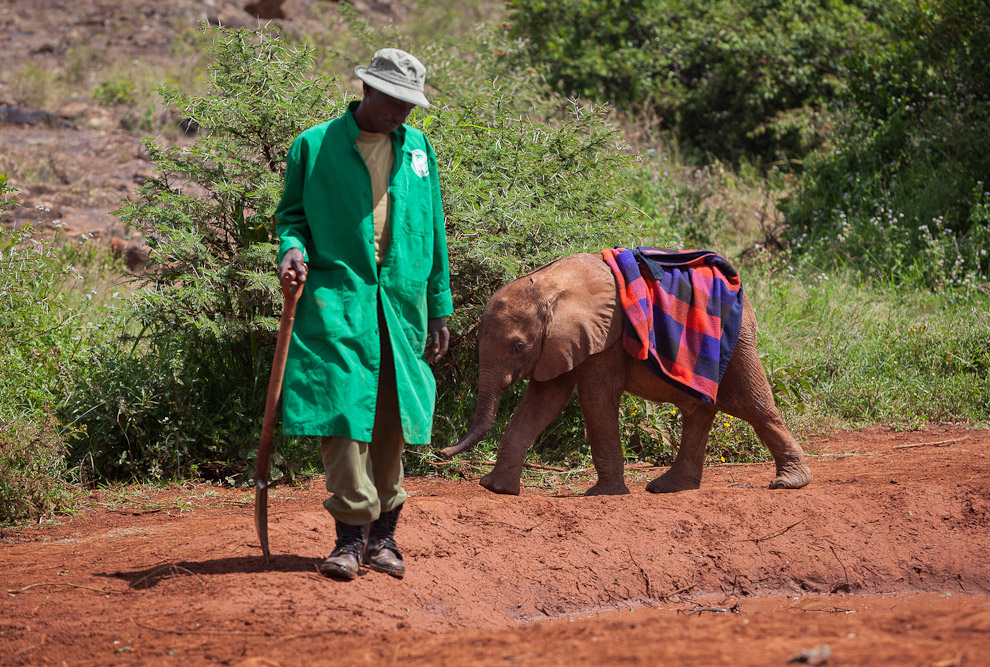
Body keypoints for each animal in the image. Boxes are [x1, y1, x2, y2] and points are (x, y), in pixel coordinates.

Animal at [442, 252, 812, 496]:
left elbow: (595, 398)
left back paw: (789, 482)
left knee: (751, 404)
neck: (550, 284)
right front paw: (496, 489)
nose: (441, 452)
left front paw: (603, 494)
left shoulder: (605, 334)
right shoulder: (563, 341)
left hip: (736, 341)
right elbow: (544, 401)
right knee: (700, 409)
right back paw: (668, 488)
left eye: (517, 347)